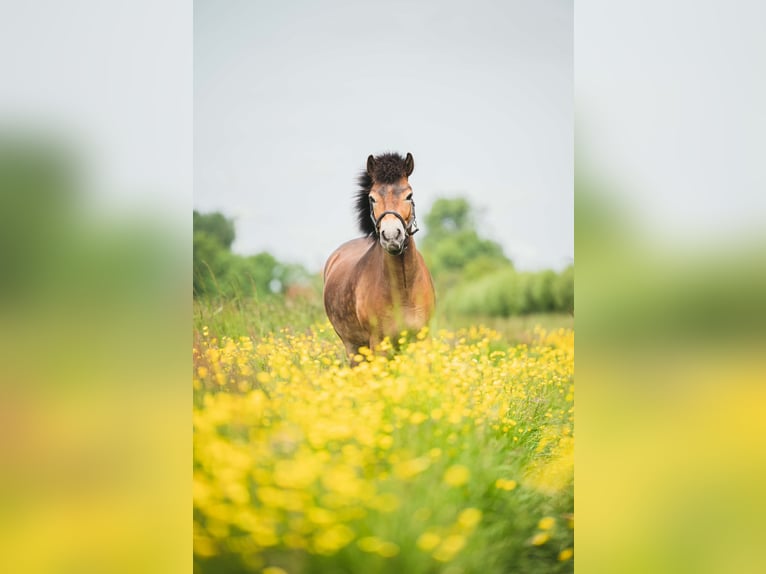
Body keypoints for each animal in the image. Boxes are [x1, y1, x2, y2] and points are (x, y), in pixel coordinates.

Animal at [323, 152, 435, 362]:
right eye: (372, 198)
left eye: (409, 195)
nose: (391, 236)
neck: (403, 289)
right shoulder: (378, 344)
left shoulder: (420, 340)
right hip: (354, 348)